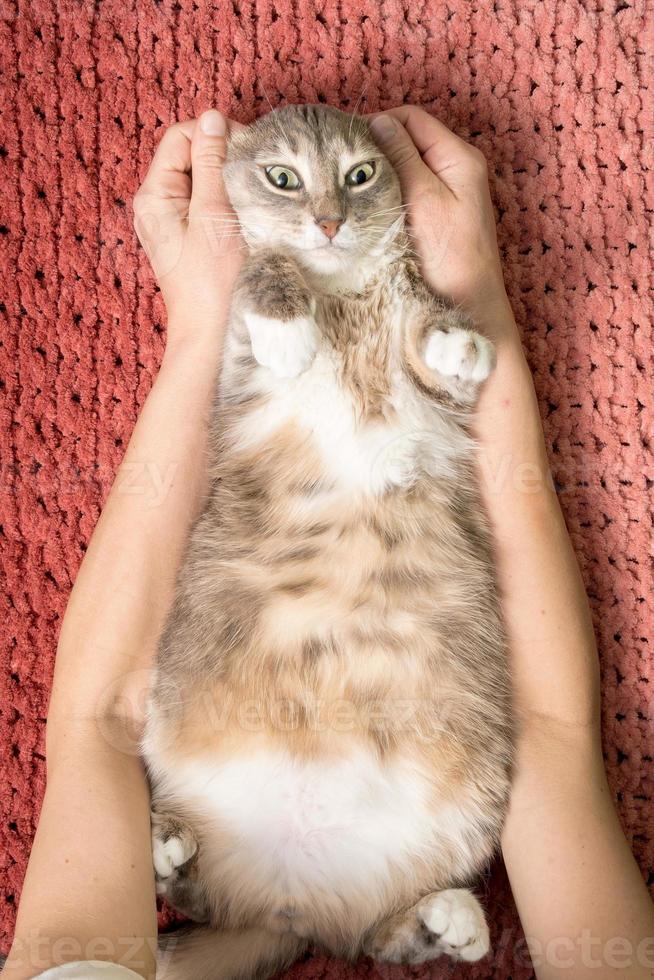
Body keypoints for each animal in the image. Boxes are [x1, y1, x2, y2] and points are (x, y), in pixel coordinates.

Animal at [142, 105, 512, 980]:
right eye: (283, 177)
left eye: (359, 174)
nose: (330, 221)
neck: (343, 296)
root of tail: (290, 902)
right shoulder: (240, 369)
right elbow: (260, 274)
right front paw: (290, 328)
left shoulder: (432, 369)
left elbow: (437, 336)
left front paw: (459, 341)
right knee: (186, 889)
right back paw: (164, 843)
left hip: (462, 819)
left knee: (379, 938)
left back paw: (452, 920)